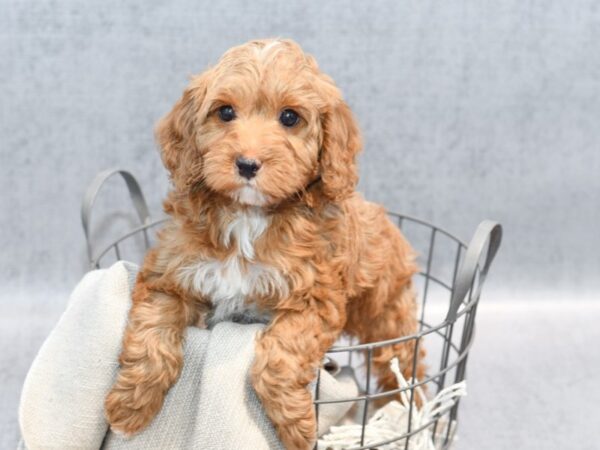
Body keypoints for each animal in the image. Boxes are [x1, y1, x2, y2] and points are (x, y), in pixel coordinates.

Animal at [105, 38, 424, 450]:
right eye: (225, 112)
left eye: (289, 117)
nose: (247, 164)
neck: (248, 216)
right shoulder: (169, 277)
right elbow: (150, 337)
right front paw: (129, 408)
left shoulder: (313, 300)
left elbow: (279, 359)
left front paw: (297, 428)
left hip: (389, 317)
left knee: (404, 367)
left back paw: (411, 417)